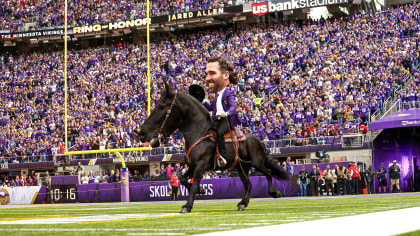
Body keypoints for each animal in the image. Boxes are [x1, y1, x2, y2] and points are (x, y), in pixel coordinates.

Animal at [139, 81, 288, 214]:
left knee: (268, 172)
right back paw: (243, 203)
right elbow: (182, 178)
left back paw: (274, 192)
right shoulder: (192, 166)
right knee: (248, 184)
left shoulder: (200, 166)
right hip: (241, 167)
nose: (140, 133)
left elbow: (193, 185)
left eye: (161, 106)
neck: (199, 134)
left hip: (256, 163)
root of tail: (258, 140)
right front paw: (201, 190)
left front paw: (187, 206)